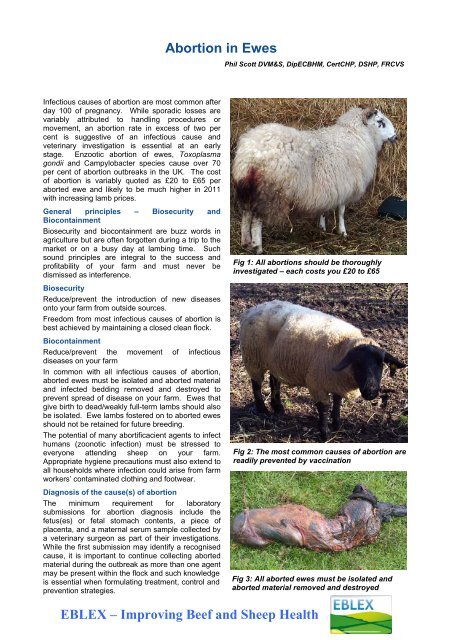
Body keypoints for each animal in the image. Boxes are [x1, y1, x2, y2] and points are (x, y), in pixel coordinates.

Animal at [232, 107, 398, 254]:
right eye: (380, 122)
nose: (396, 136)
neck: (355, 134)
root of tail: (250, 154)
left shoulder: (328, 187)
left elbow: (325, 209)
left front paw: (322, 227)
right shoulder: (345, 184)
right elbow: (341, 211)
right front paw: (343, 232)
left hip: (247, 190)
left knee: (246, 215)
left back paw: (245, 243)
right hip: (268, 193)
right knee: (256, 221)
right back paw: (258, 247)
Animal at [239, 300, 406, 440]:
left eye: (381, 364)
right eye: (357, 364)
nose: (371, 392)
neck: (341, 347)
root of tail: (251, 310)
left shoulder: (337, 382)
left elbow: (337, 403)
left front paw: (337, 424)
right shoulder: (317, 384)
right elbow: (323, 409)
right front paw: (325, 434)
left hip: (274, 361)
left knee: (274, 381)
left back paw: (278, 408)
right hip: (253, 358)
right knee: (256, 385)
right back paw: (262, 410)